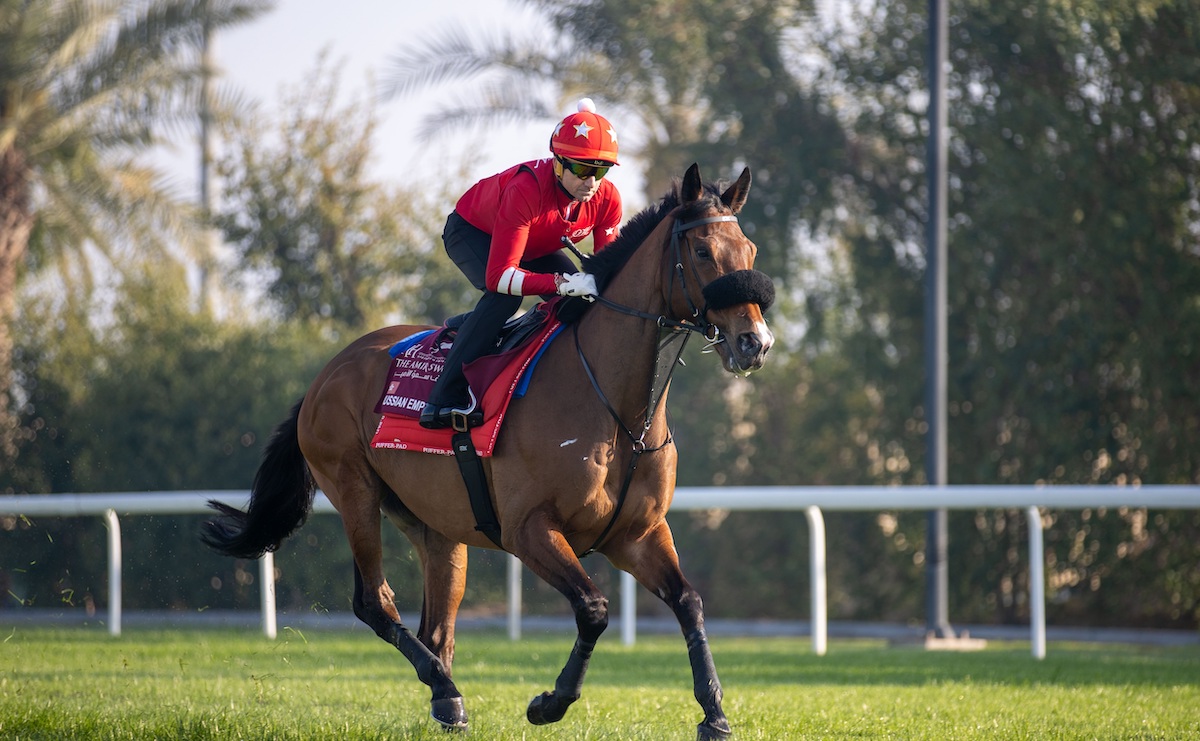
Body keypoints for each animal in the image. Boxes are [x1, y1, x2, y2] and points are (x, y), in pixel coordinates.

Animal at [201, 160, 772, 733]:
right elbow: (593, 609)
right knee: (373, 602)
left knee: (436, 625)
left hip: (435, 524)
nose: (755, 343)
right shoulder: (529, 529)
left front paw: (715, 714)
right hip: (353, 490)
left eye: (749, 251)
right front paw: (549, 702)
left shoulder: (637, 534)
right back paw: (445, 687)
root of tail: (326, 375)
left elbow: (689, 601)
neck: (616, 410)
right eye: (702, 251)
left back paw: (446, 700)